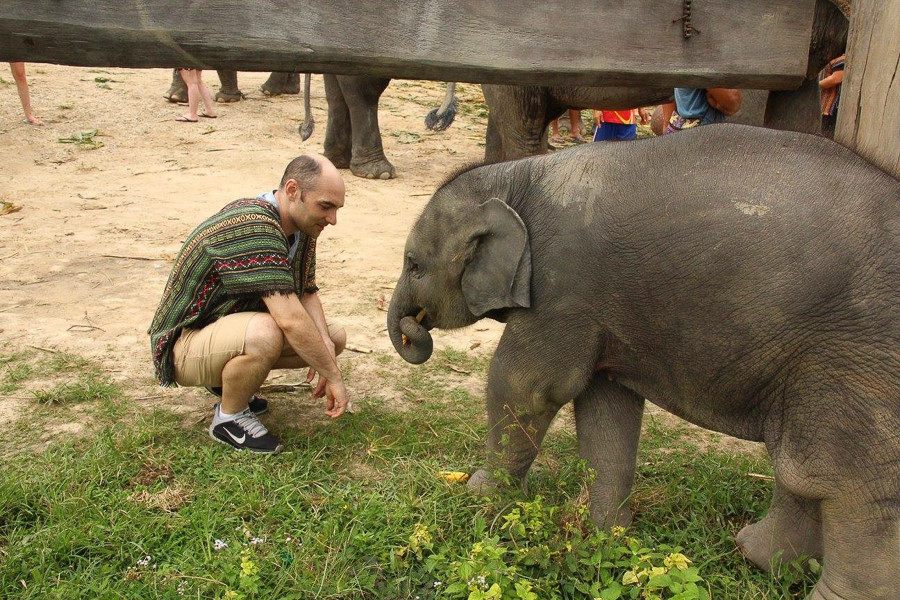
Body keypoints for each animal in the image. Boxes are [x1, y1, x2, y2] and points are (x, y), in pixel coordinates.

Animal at [384, 123, 900, 600]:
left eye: (414, 265)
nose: (413, 329)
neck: (518, 175)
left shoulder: (562, 287)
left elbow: (527, 386)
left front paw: (479, 495)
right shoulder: (597, 306)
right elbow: (606, 406)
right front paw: (605, 538)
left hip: (856, 357)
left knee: (850, 483)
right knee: (804, 469)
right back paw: (754, 555)